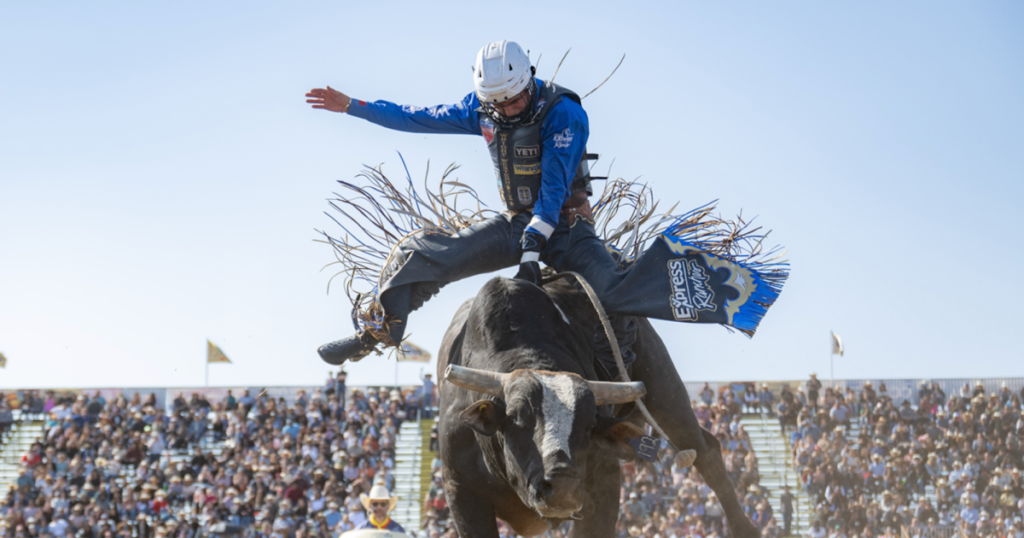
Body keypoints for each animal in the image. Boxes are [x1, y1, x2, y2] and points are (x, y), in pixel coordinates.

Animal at [436, 274, 765, 536]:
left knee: (705, 453)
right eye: (516, 417)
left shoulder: (605, 481)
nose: (562, 487)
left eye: (590, 424)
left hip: (664, 387)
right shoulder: (460, 490)